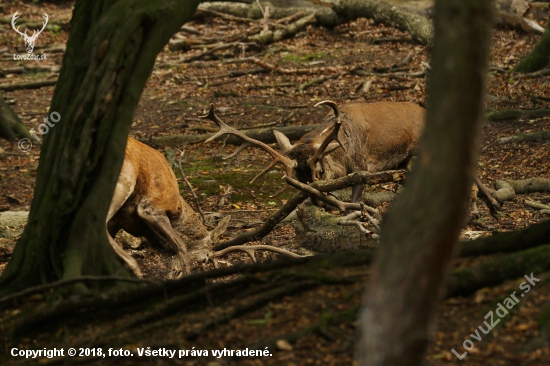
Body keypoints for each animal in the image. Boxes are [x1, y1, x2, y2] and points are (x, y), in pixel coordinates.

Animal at [107, 137, 302, 278]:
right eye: (206, 259)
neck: (178, 208)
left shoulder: (123, 222)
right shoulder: (151, 207)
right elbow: (180, 246)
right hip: (124, 181)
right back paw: (132, 265)